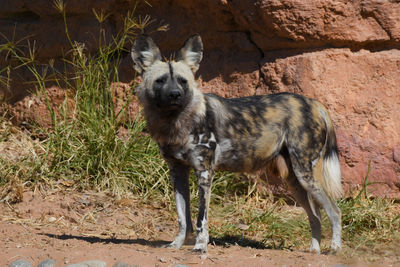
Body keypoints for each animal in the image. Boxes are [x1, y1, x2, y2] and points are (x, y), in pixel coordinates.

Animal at [131, 34, 344, 254]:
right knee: (316, 216)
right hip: (295, 181)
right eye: (160, 81)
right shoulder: (178, 172)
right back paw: (314, 250)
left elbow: (200, 220)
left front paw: (200, 246)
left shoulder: (204, 173)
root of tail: (314, 103)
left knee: (335, 211)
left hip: (306, 175)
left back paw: (334, 248)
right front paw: (176, 244)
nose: (175, 94)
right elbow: (183, 218)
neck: (176, 122)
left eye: (183, 81)